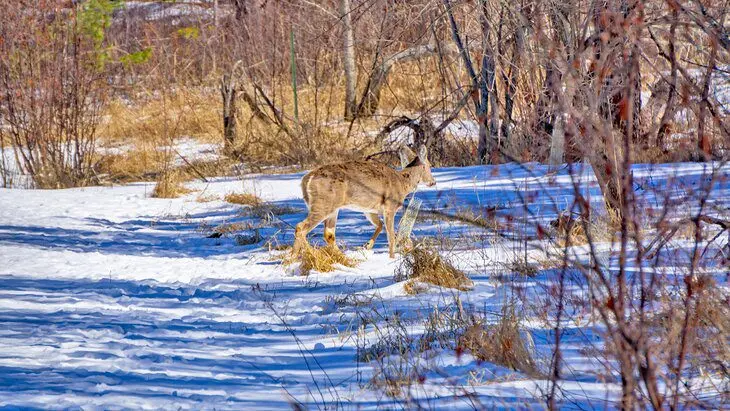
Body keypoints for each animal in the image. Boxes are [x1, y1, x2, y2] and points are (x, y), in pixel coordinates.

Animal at [290, 146, 436, 260]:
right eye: (429, 165)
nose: (433, 182)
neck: (402, 183)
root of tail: (306, 179)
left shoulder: (369, 209)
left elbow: (380, 226)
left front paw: (367, 245)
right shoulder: (390, 206)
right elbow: (391, 236)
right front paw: (392, 258)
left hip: (332, 208)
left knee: (329, 234)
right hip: (324, 204)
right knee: (301, 227)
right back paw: (311, 254)